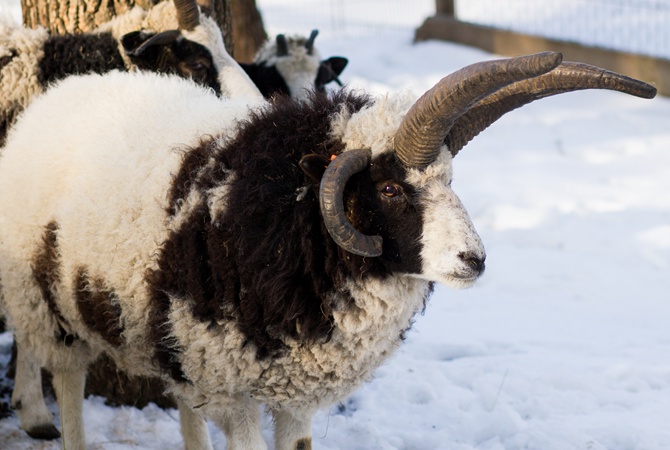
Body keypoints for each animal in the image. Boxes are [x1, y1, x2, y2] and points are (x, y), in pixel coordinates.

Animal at [0, 52, 655, 449]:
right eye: (389, 189)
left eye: (451, 179)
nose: (476, 260)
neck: (284, 214)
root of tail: (63, 92)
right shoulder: (235, 389)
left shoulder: (289, 391)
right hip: (47, 303)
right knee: (65, 378)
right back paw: (44, 419)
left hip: (173, 341)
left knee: (178, 402)